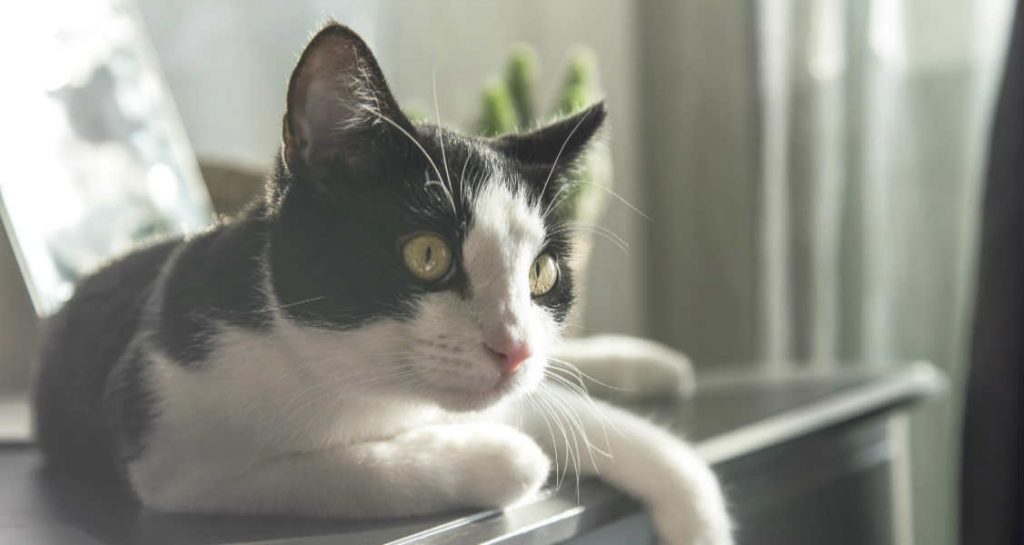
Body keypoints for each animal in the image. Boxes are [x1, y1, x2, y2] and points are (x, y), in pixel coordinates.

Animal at [32, 23, 733, 545]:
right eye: (427, 255)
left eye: (542, 274)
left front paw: (699, 519)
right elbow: (344, 471)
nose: (515, 349)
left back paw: (648, 362)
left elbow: (628, 436)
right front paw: (502, 456)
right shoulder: (170, 452)